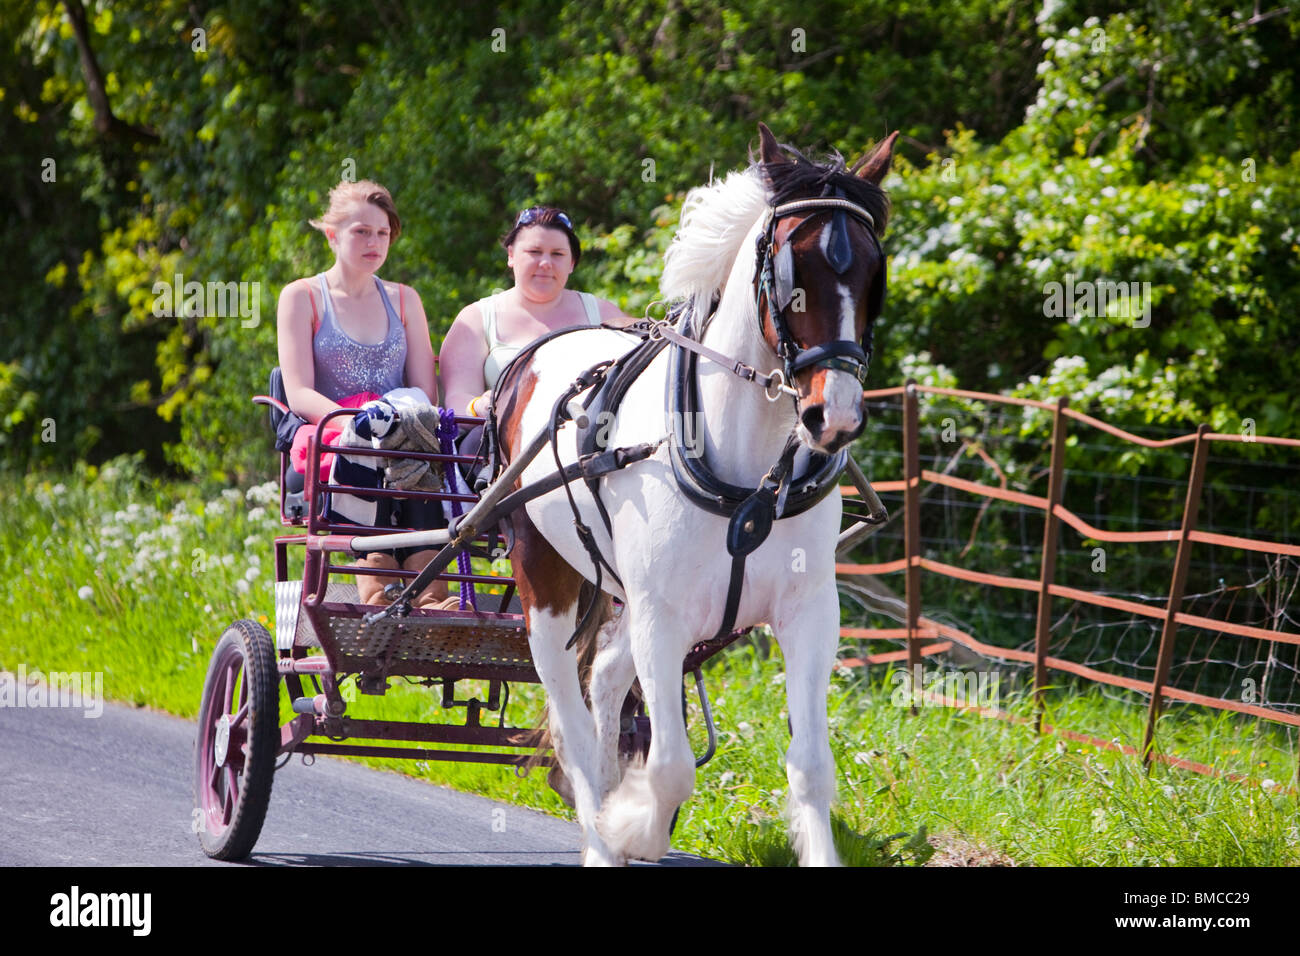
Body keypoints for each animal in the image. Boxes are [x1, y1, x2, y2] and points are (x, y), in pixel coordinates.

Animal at [492, 122, 896, 865]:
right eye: (791, 274)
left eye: (872, 274)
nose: (836, 416)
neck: (748, 472)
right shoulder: (663, 613)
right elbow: (672, 767)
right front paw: (632, 826)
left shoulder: (808, 612)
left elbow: (811, 765)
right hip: (547, 580)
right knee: (569, 714)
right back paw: (600, 836)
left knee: (605, 677)